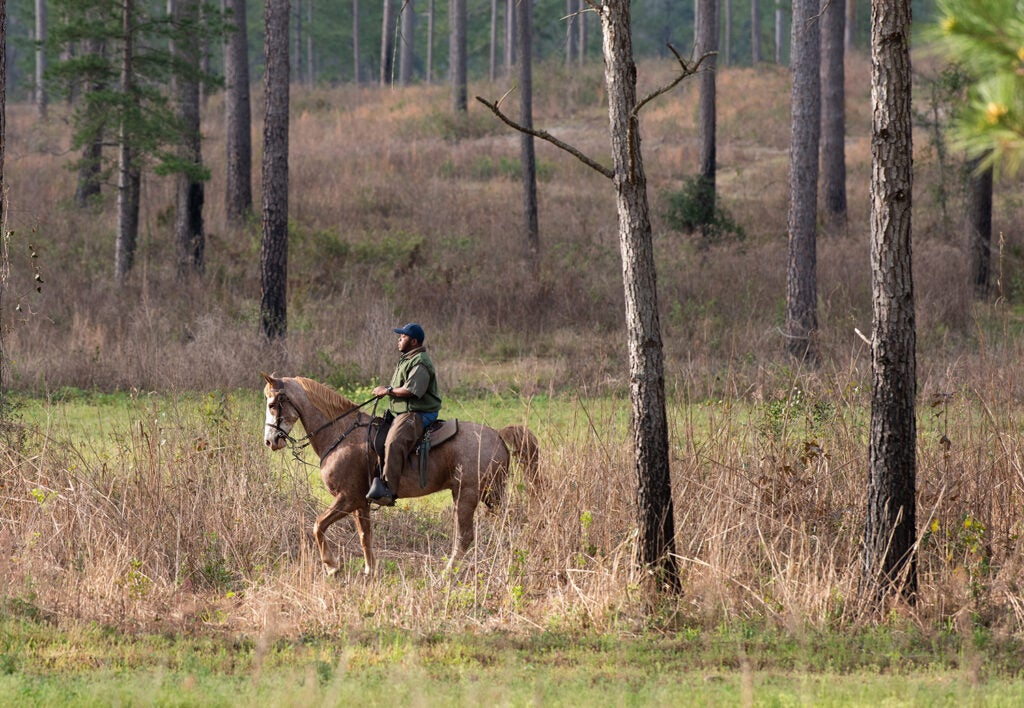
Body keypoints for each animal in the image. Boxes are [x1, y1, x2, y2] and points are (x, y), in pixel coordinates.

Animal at [260, 370, 540, 577]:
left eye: (273, 404)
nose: (270, 441)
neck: (341, 433)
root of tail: (497, 435)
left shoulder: (347, 498)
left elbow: (318, 525)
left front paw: (331, 566)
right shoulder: (360, 502)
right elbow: (365, 536)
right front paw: (369, 570)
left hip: (467, 495)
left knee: (466, 536)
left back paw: (448, 573)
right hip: (491, 495)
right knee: (507, 524)